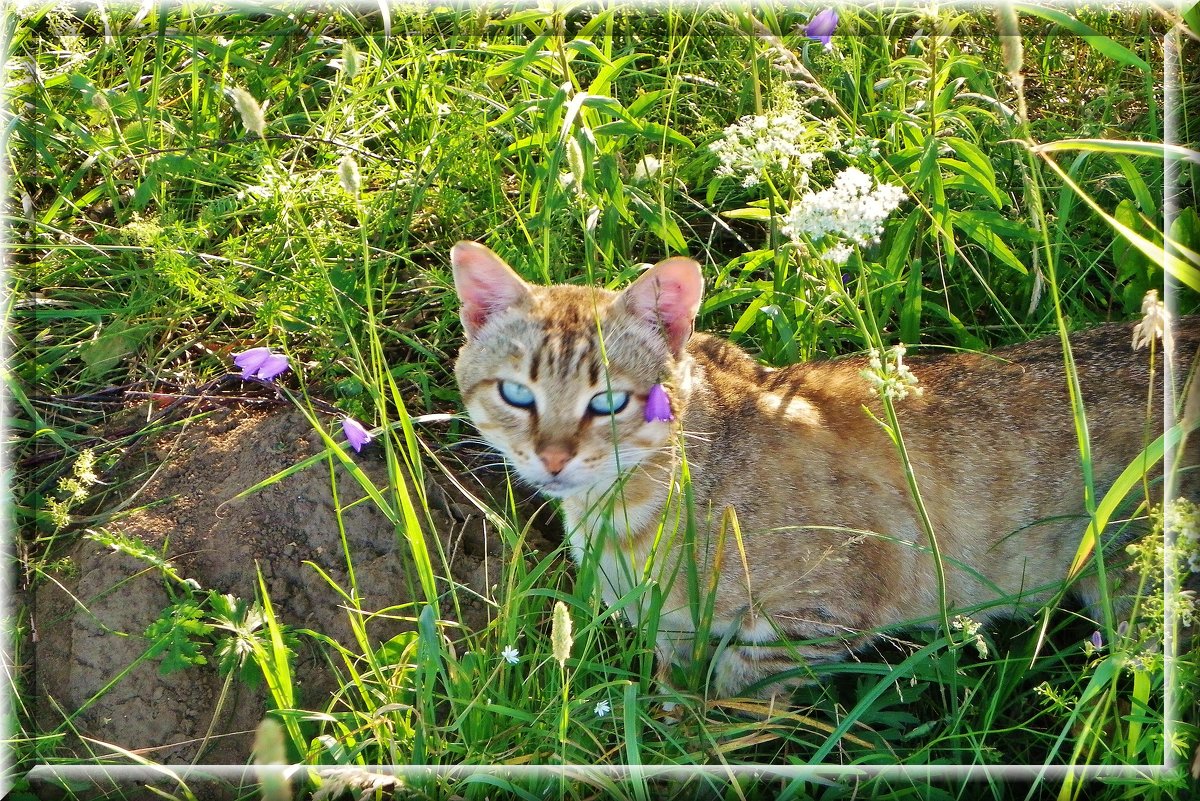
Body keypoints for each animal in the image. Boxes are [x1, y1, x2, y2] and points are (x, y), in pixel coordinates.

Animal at [448, 241, 1190, 695]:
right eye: (517, 393)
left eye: (607, 401)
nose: (553, 457)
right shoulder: (675, 627)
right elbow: (675, 674)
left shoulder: (818, 614)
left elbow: (737, 692)